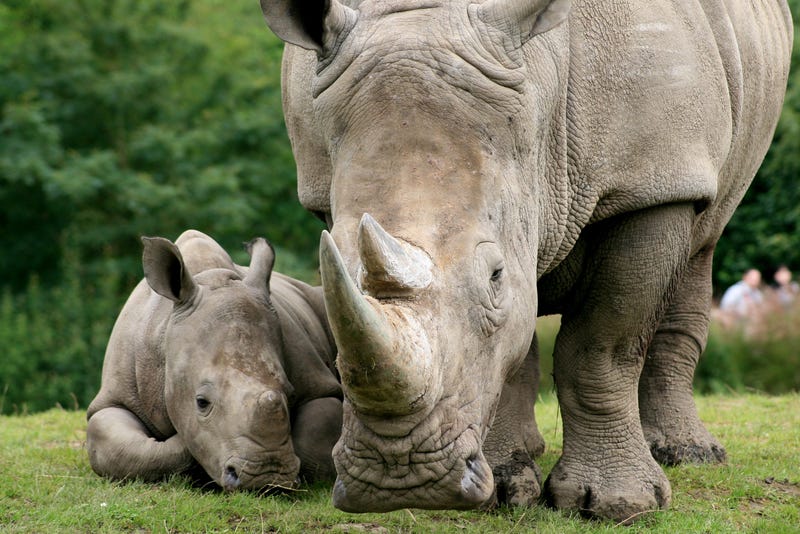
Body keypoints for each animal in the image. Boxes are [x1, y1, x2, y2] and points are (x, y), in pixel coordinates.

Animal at [86, 230, 342, 491]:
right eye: (201, 402)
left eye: (291, 395)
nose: (265, 478)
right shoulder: (114, 397)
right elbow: (120, 450)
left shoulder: (321, 387)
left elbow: (313, 436)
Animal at [260, 0, 793, 522]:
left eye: (494, 276)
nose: (399, 474)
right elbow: (511, 351)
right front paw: (504, 489)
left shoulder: (650, 180)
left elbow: (603, 346)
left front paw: (619, 505)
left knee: (702, 242)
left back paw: (690, 455)